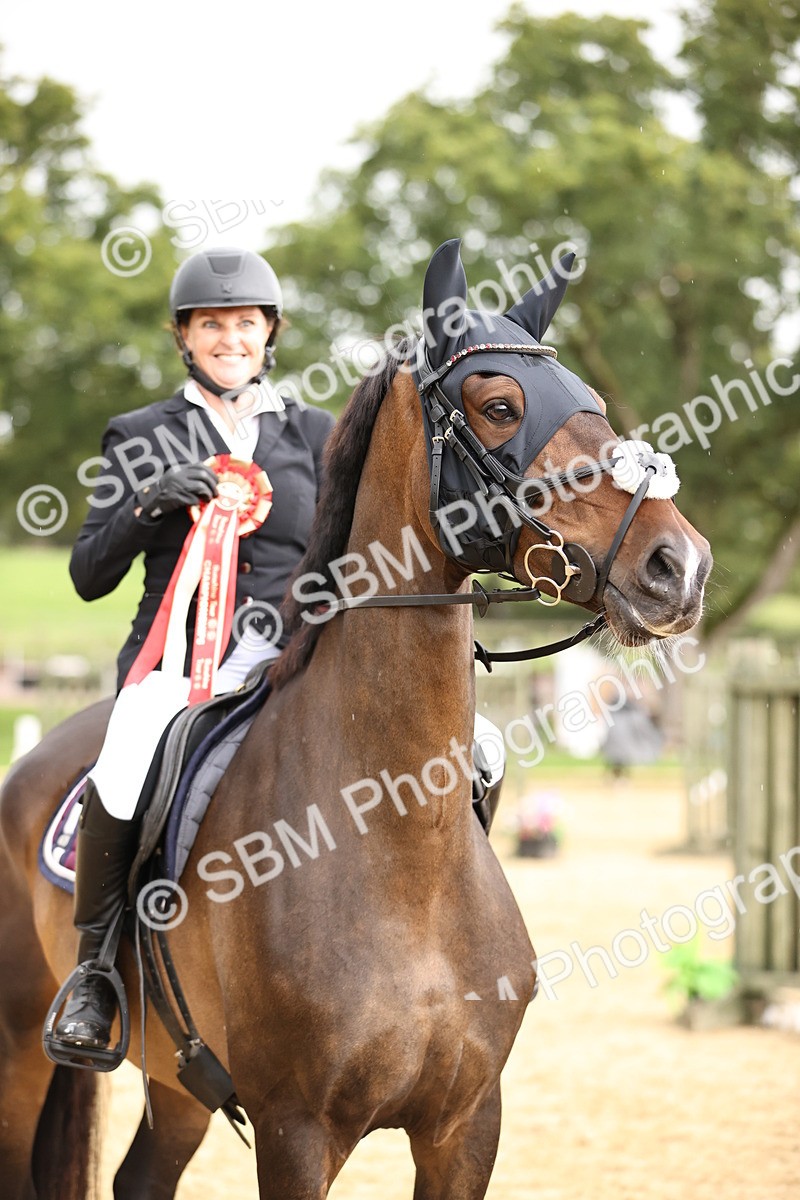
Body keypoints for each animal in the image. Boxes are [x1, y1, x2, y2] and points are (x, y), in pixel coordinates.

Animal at [0, 238, 711, 1199]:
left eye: (593, 407)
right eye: (499, 406)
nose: (681, 567)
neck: (397, 847)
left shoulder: (465, 1128)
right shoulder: (295, 1132)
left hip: (178, 1083)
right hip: (17, 1048)